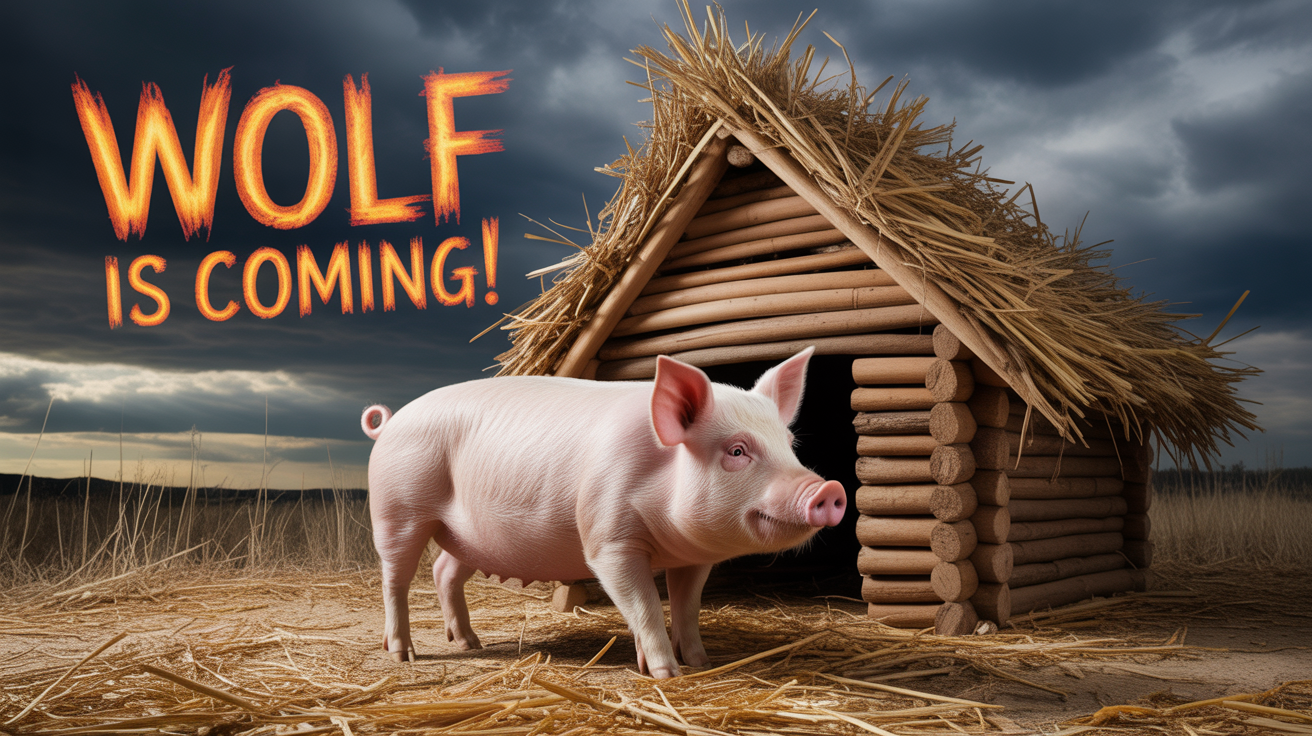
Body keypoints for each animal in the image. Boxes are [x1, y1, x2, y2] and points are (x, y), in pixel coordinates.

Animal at [360, 347, 846, 678]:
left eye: (790, 443)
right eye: (737, 450)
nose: (829, 488)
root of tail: (392, 421)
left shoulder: (694, 558)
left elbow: (687, 607)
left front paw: (701, 662)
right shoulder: (608, 540)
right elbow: (645, 605)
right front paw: (666, 674)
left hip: (466, 535)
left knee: (444, 570)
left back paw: (471, 644)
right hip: (398, 509)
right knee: (395, 578)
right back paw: (403, 654)